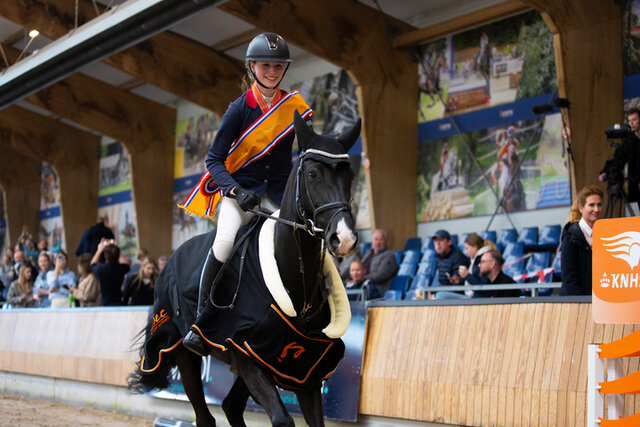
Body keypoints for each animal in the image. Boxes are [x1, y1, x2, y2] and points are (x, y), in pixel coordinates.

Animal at [128, 111, 361, 427]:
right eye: (313, 174)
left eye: (350, 176)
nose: (344, 238)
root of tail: (169, 261)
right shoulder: (248, 357)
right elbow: (283, 420)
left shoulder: (301, 370)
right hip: (182, 350)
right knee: (206, 415)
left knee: (230, 406)